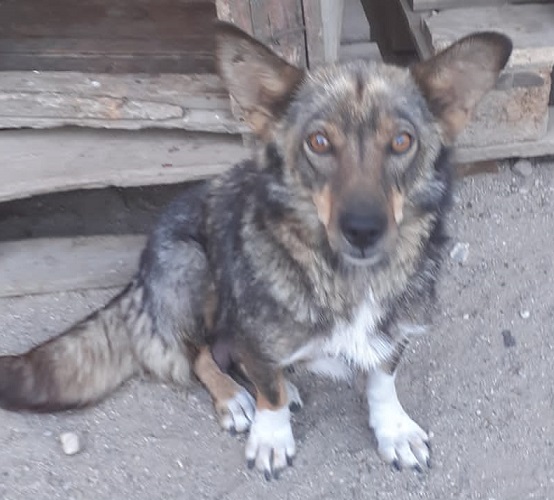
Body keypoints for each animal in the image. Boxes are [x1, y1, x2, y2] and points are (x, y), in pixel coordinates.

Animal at [0, 22, 511, 480]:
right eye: (319, 142)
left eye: (402, 141)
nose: (364, 231)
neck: (347, 278)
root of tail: (137, 281)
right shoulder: (252, 329)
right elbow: (268, 391)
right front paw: (271, 435)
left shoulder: (396, 327)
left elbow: (382, 380)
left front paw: (393, 429)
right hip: (191, 265)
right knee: (200, 354)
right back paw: (235, 396)